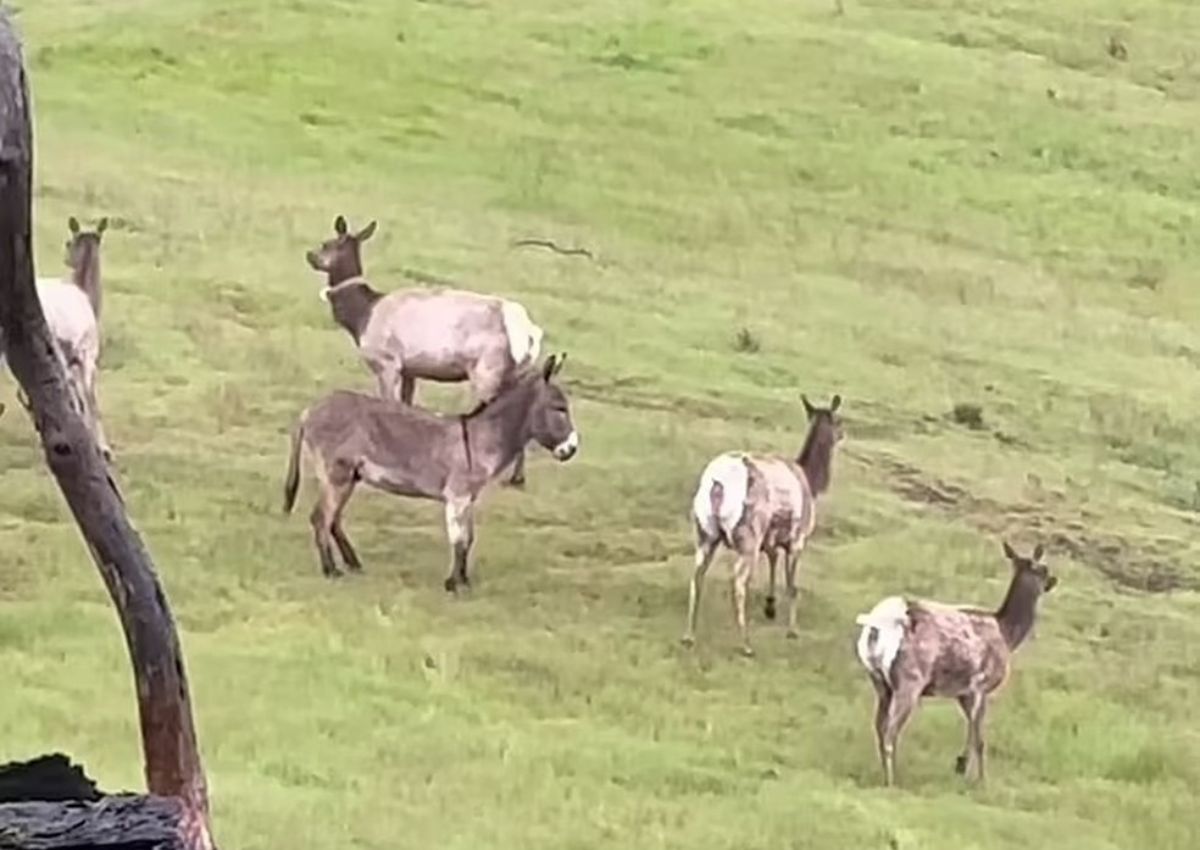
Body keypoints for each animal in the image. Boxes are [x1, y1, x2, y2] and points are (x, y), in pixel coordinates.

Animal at [283, 352, 578, 590]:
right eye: (559, 409)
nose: (572, 449)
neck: (479, 438)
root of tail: (309, 410)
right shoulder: (457, 496)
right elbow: (459, 540)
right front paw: (454, 585)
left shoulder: (467, 498)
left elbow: (469, 539)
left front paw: (464, 581)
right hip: (337, 475)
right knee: (321, 518)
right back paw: (331, 571)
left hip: (348, 477)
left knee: (333, 520)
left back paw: (353, 563)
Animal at [304, 213, 544, 485]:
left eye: (327, 244)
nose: (310, 255)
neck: (361, 316)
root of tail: (529, 332)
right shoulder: (410, 368)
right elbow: (406, 404)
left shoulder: (387, 361)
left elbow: (389, 402)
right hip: (514, 371)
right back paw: (517, 476)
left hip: (487, 369)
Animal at [686, 393, 844, 657]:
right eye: (839, 420)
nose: (843, 433)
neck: (810, 481)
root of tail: (717, 484)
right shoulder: (797, 538)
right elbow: (792, 585)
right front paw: (792, 631)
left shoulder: (770, 539)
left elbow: (772, 559)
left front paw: (770, 607)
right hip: (748, 535)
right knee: (739, 581)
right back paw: (746, 644)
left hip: (704, 531)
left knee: (697, 574)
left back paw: (689, 636)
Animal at [854, 540, 1060, 787]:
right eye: (1043, 569)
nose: (1053, 580)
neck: (1007, 635)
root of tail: (878, 625)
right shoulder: (982, 685)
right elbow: (980, 736)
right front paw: (978, 778)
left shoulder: (963, 692)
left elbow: (972, 729)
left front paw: (961, 766)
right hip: (910, 679)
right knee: (890, 733)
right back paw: (891, 781)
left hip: (879, 681)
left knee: (878, 727)